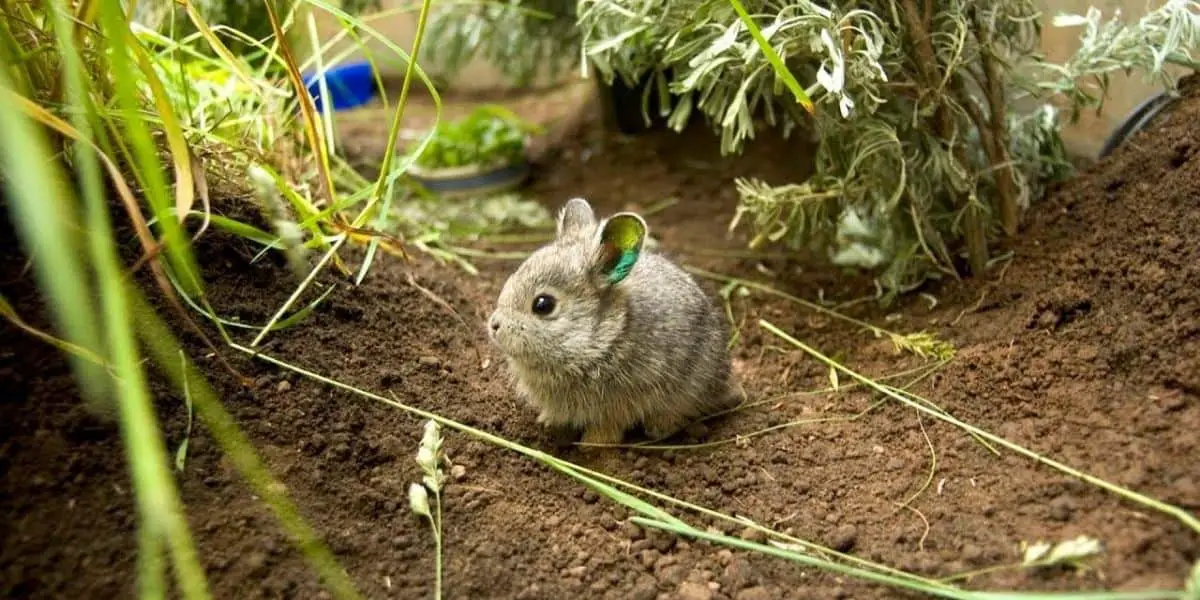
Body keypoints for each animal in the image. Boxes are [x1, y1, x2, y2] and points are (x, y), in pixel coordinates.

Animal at [484, 196, 729, 446]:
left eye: (543, 305)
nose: (494, 325)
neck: (601, 339)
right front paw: (548, 422)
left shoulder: (620, 404)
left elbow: (607, 428)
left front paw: (591, 445)